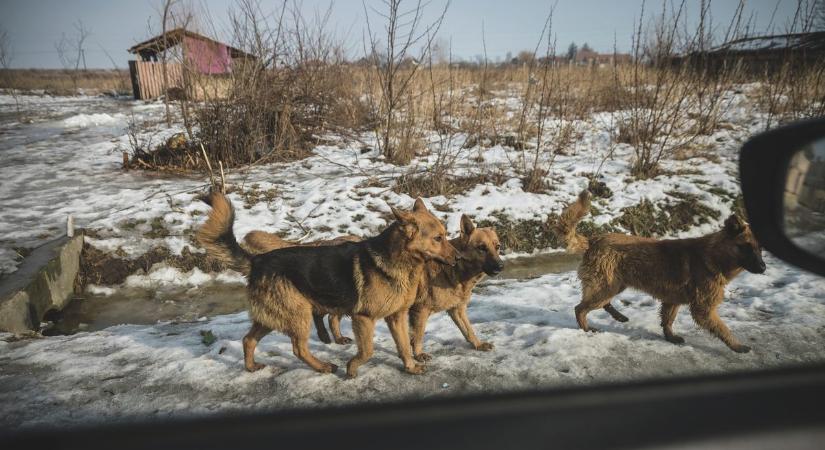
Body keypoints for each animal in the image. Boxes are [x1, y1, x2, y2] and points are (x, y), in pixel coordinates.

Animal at [197, 193, 460, 376]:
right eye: (438, 238)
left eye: (446, 235)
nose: (458, 258)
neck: (399, 261)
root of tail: (256, 261)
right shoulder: (363, 318)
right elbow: (368, 350)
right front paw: (352, 368)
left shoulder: (396, 317)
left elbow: (405, 345)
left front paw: (410, 367)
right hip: (298, 314)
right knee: (298, 348)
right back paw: (323, 366)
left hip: (275, 316)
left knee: (248, 340)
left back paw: (251, 367)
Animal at [410, 215, 502, 362]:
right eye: (482, 248)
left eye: (497, 246)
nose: (501, 266)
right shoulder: (420, 311)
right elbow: (418, 336)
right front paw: (418, 354)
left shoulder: (457, 309)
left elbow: (468, 330)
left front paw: (478, 344)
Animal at [568, 192, 768, 354]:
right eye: (746, 247)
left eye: (760, 249)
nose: (763, 268)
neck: (713, 256)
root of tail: (593, 240)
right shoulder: (703, 309)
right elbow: (723, 329)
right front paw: (737, 346)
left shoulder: (672, 300)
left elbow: (667, 321)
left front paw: (670, 337)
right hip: (606, 286)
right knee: (580, 308)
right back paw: (587, 329)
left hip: (614, 285)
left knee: (600, 303)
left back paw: (619, 316)